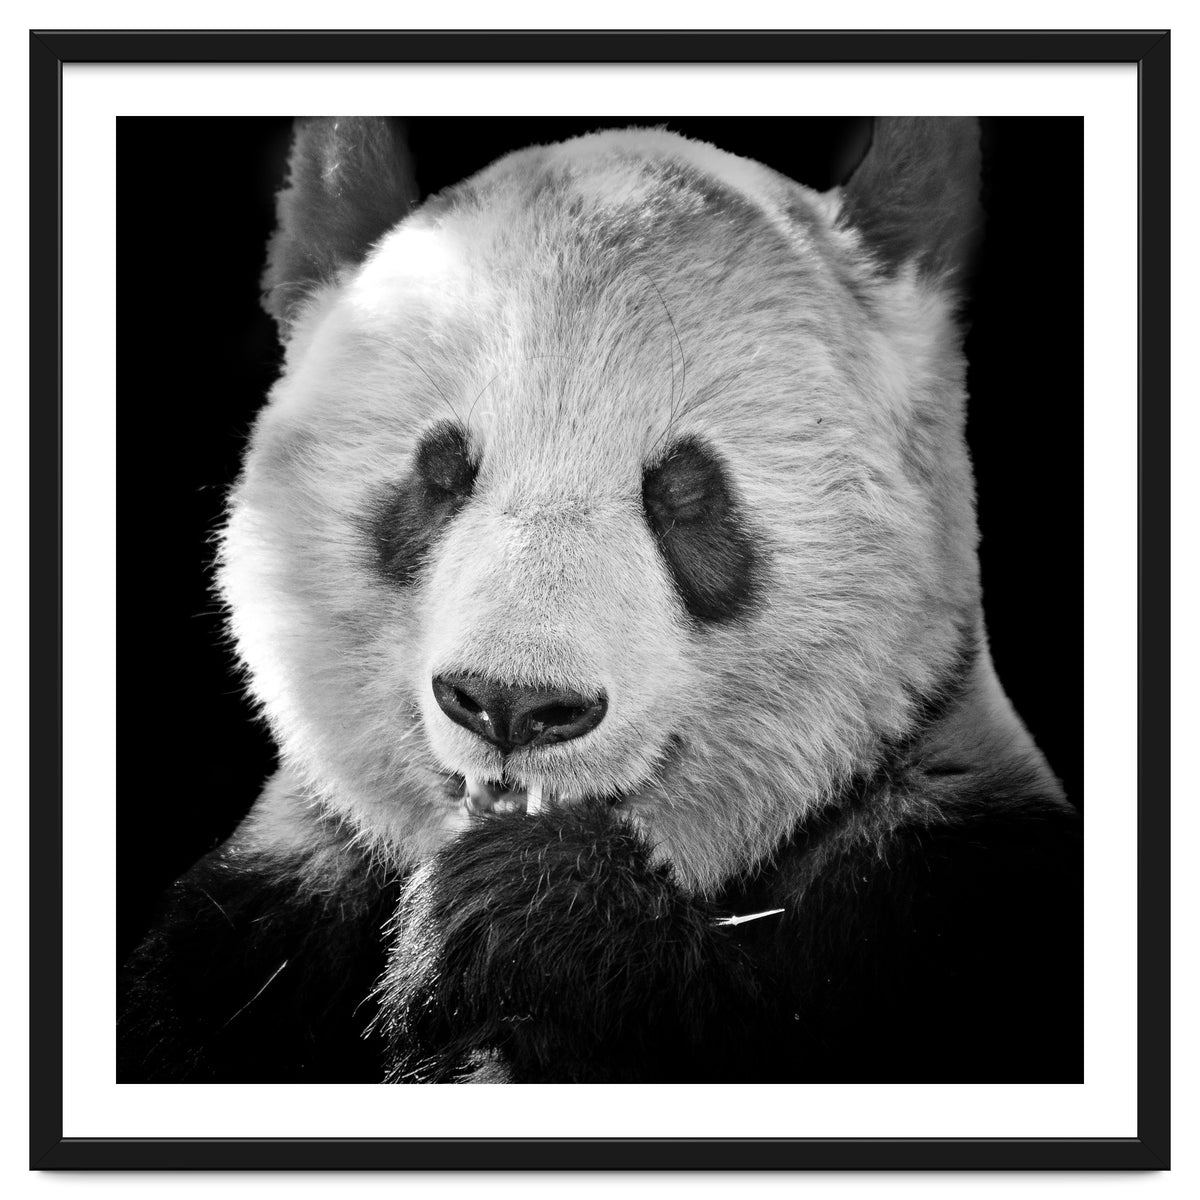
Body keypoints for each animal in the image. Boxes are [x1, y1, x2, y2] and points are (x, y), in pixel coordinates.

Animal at [119, 116, 1082, 1085]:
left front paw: (531, 915)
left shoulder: (945, 887)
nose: (512, 704)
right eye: (440, 473)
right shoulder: (258, 922)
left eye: (685, 495)